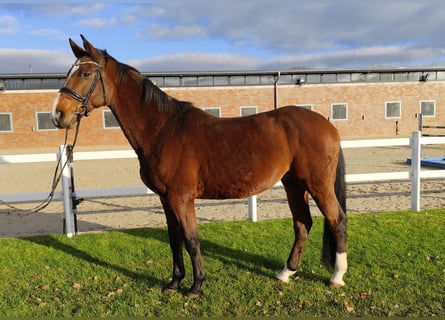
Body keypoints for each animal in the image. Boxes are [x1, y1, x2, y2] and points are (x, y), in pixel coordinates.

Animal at [49, 35, 346, 298]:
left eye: (86, 73)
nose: (58, 115)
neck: (163, 130)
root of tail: (327, 124)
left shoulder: (182, 198)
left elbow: (191, 240)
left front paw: (196, 286)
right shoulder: (166, 199)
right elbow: (175, 239)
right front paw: (173, 283)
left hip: (317, 185)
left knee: (336, 219)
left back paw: (337, 277)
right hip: (293, 184)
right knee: (303, 223)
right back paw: (286, 273)